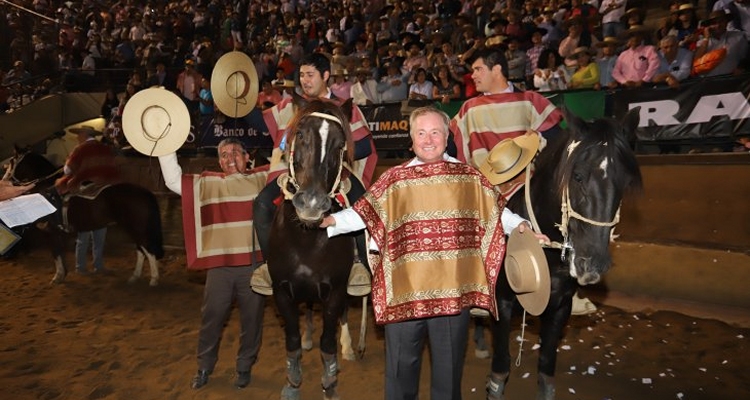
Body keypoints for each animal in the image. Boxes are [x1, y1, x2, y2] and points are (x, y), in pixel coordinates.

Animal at [5, 148, 164, 286]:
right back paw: (134, 277)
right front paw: (63, 274)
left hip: (137, 228)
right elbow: (60, 254)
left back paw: (154, 279)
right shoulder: (58, 233)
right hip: (134, 229)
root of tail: (144, 192)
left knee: (148, 250)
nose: (5, 180)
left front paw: (57, 277)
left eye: (12, 161)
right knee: (141, 250)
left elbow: (56, 254)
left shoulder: (52, 232)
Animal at [270, 97, 362, 400]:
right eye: (300, 135)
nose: (311, 203)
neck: (306, 240)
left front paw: (330, 384)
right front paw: (292, 382)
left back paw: (348, 347)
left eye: (340, 144)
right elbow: (292, 340)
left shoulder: (335, 291)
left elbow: (328, 342)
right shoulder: (282, 292)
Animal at [490, 108, 644, 398]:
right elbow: (500, 373)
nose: (591, 264)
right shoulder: (502, 305)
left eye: (624, 183)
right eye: (578, 176)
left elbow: (546, 373)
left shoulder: (560, 308)